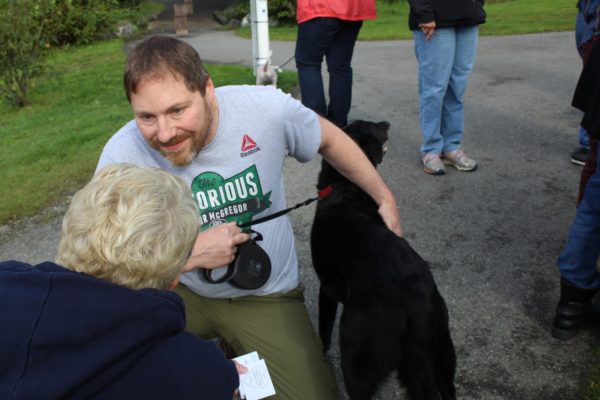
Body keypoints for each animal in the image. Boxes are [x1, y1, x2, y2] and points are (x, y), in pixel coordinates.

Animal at [312, 121, 458, 400]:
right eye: (371, 126)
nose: (387, 123)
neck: (346, 187)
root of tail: (417, 303)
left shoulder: (327, 289)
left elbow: (323, 332)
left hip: (357, 354)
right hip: (442, 353)